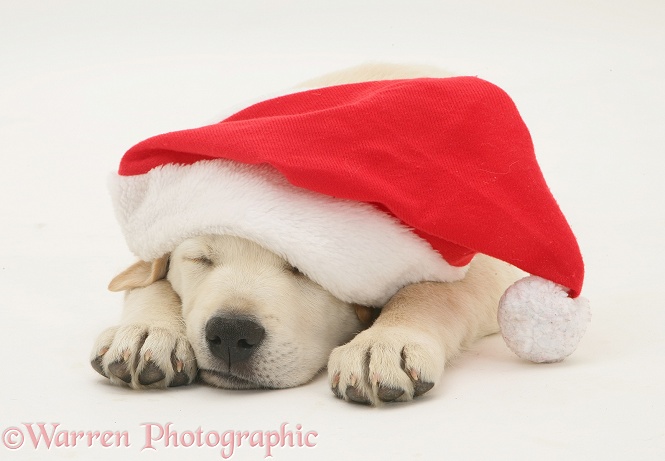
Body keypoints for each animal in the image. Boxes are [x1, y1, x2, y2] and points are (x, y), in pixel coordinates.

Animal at [91, 63, 520, 402]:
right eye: (201, 259)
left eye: (303, 270)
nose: (230, 333)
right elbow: (149, 280)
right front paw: (147, 331)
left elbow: (437, 291)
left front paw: (384, 342)